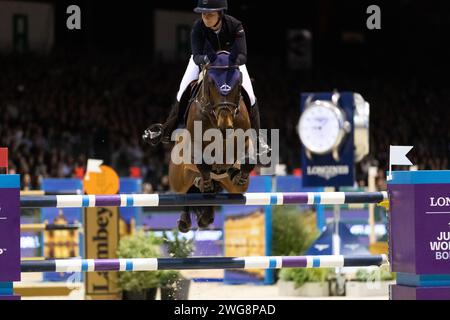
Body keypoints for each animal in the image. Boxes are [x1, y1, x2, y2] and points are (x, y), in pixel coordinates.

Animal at [168, 52, 256, 232]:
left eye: (237, 83)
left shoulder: (244, 142)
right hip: (179, 178)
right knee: (185, 192)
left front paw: (237, 174)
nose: (225, 125)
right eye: (211, 83)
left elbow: (247, 160)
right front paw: (207, 179)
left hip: (235, 187)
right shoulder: (195, 147)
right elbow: (203, 162)